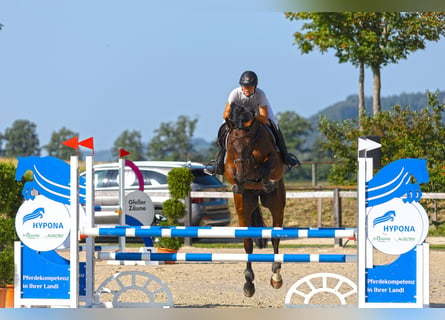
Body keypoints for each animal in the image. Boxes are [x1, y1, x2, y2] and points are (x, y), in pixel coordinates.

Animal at [224, 102, 286, 298]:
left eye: (249, 143)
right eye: (232, 144)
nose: (242, 176)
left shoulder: (273, 158)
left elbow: (267, 167)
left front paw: (266, 181)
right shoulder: (230, 163)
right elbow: (231, 170)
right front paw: (239, 183)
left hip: (276, 205)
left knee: (275, 238)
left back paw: (276, 276)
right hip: (244, 207)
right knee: (248, 244)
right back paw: (248, 283)